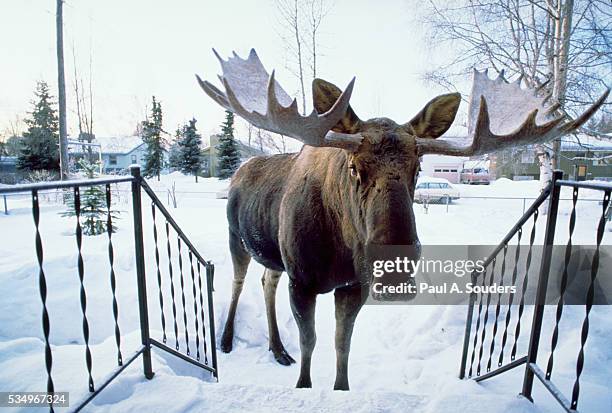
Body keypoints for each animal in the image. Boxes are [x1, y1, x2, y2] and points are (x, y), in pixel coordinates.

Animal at [197, 48, 608, 390]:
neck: (339, 250)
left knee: (267, 280)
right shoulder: (303, 280)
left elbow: (341, 344)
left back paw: (277, 348)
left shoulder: (354, 285)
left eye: (418, 167)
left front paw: (340, 387)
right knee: (238, 280)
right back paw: (228, 339)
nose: (394, 268)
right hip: (237, 238)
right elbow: (310, 342)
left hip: (273, 254)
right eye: (353, 167)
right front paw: (303, 384)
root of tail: (238, 171)